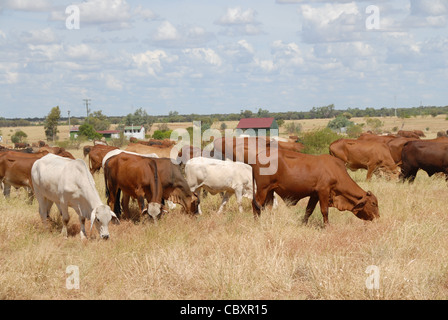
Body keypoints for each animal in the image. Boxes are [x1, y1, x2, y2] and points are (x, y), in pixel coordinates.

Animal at [250, 150, 380, 225]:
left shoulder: (314, 195)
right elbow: (324, 211)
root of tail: (257, 157)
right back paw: (257, 223)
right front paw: (327, 226)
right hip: (262, 189)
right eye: (373, 203)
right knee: (256, 204)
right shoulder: (323, 192)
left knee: (268, 207)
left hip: (270, 191)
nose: (378, 218)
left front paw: (303, 224)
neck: (336, 171)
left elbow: (309, 210)